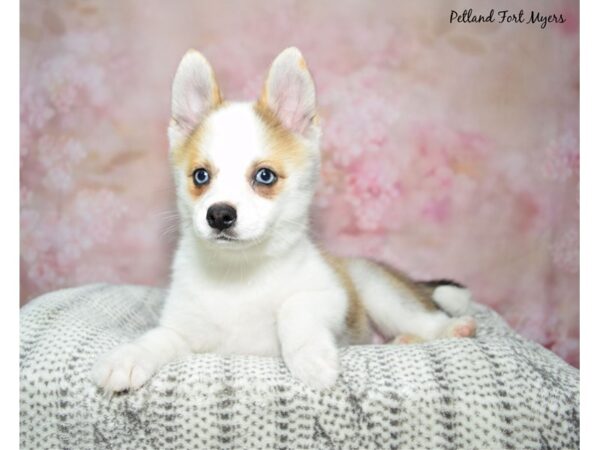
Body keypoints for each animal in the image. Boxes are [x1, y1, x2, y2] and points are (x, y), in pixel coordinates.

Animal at [92, 46, 478, 390]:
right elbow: (157, 338)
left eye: (264, 176)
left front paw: (311, 358)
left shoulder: (331, 295)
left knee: (424, 317)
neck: (239, 276)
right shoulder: (183, 331)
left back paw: (445, 330)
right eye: (201, 176)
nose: (219, 215)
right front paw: (127, 357)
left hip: (375, 289)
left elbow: (295, 306)